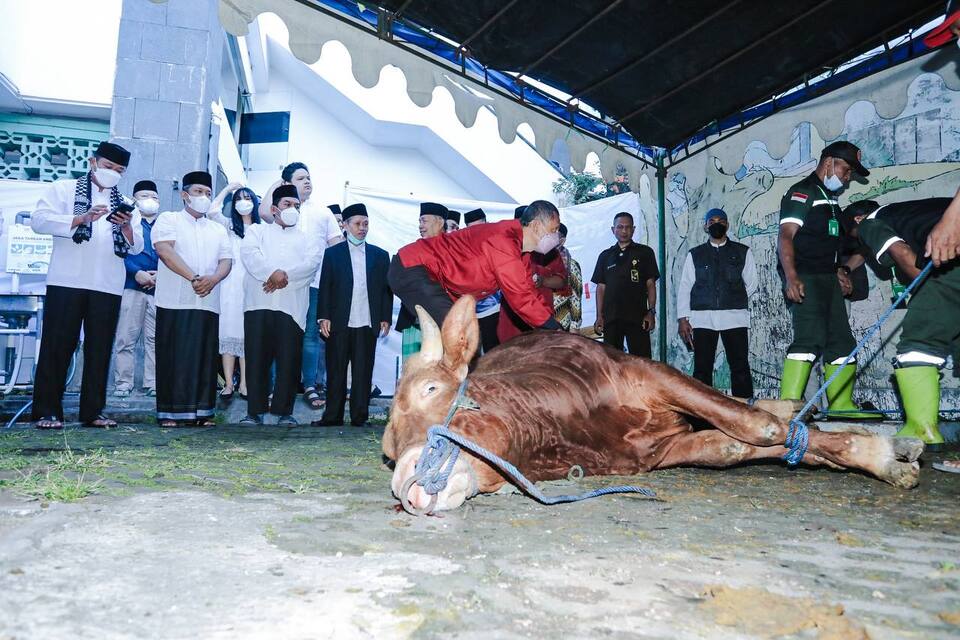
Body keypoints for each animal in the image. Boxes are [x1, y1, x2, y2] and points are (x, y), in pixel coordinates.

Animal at [380, 298, 924, 512]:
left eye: (430, 390)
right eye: (387, 451)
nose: (405, 481)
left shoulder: (648, 372)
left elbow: (757, 427)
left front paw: (879, 454)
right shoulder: (657, 452)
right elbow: (734, 446)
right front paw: (877, 453)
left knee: (752, 404)